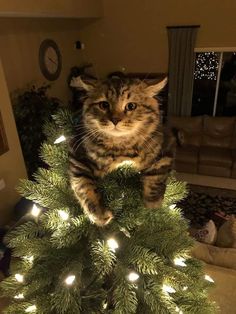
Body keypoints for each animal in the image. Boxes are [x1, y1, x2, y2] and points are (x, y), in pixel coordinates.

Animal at [68, 77, 175, 227]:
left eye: (131, 106)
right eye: (104, 105)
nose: (115, 120)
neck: (121, 149)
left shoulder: (165, 147)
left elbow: (156, 176)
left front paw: (152, 204)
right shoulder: (77, 157)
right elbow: (85, 187)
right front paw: (99, 214)